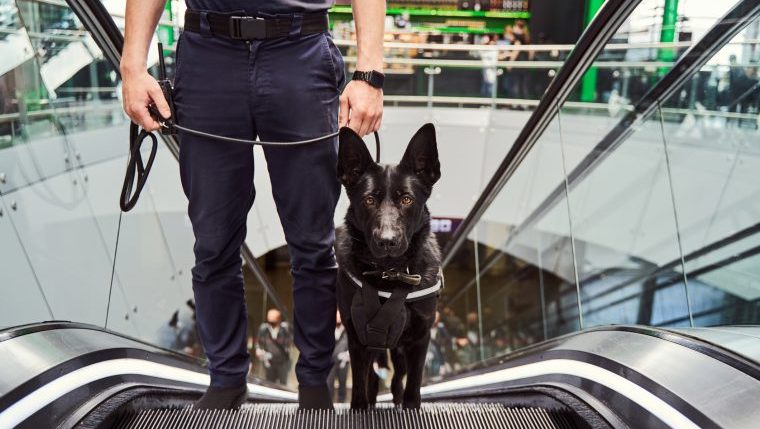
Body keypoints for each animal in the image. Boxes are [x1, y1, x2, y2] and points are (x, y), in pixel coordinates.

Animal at [336, 123, 442, 408]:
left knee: (396, 381)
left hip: (399, 352)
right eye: (369, 200)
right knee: (374, 380)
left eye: (406, 199)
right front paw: (361, 408)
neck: (390, 272)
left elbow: (413, 389)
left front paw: (409, 407)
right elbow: (359, 388)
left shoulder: (419, 339)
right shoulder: (357, 339)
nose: (387, 241)